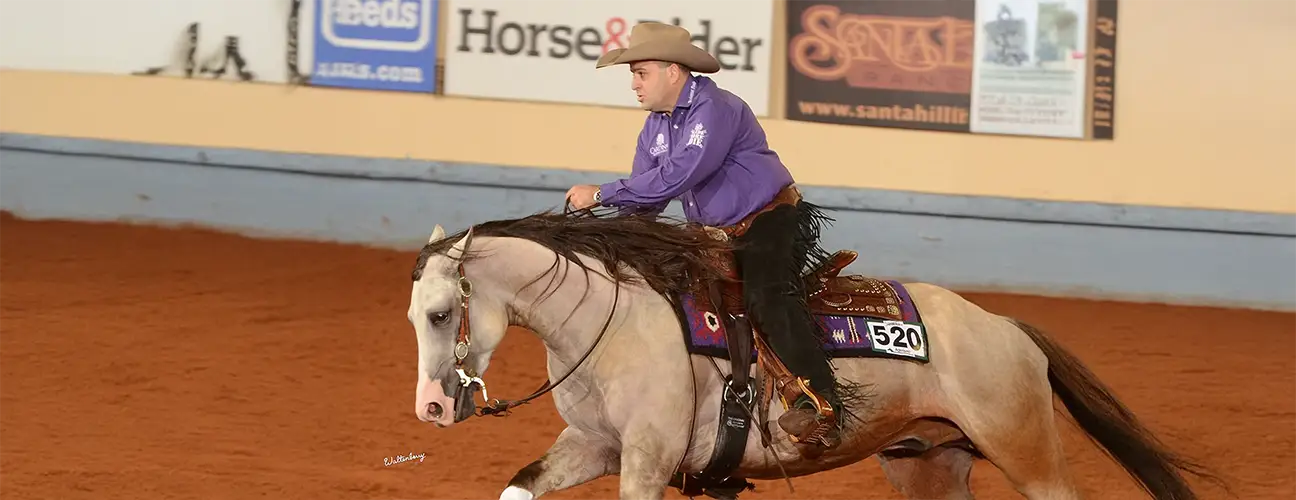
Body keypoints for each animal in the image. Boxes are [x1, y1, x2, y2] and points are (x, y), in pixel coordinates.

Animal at [405, 209, 1221, 500]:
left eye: (443, 313)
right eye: (412, 315)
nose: (432, 408)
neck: (613, 322)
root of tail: (1004, 328)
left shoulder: (645, 461)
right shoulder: (595, 446)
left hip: (1029, 454)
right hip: (928, 462)